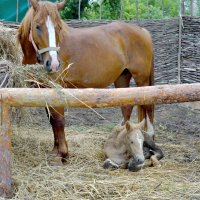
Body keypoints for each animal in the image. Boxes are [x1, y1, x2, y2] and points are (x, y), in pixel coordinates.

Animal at [17, 0, 155, 163]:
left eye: (58, 27)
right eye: (37, 26)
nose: (53, 64)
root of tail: (142, 31)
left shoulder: (56, 88)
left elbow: (58, 120)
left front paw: (62, 154)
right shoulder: (43, 90)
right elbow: (52, 120)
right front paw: (55, 151)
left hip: (142, 79)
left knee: (148, 106)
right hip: (122, 78)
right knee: (127, 107)